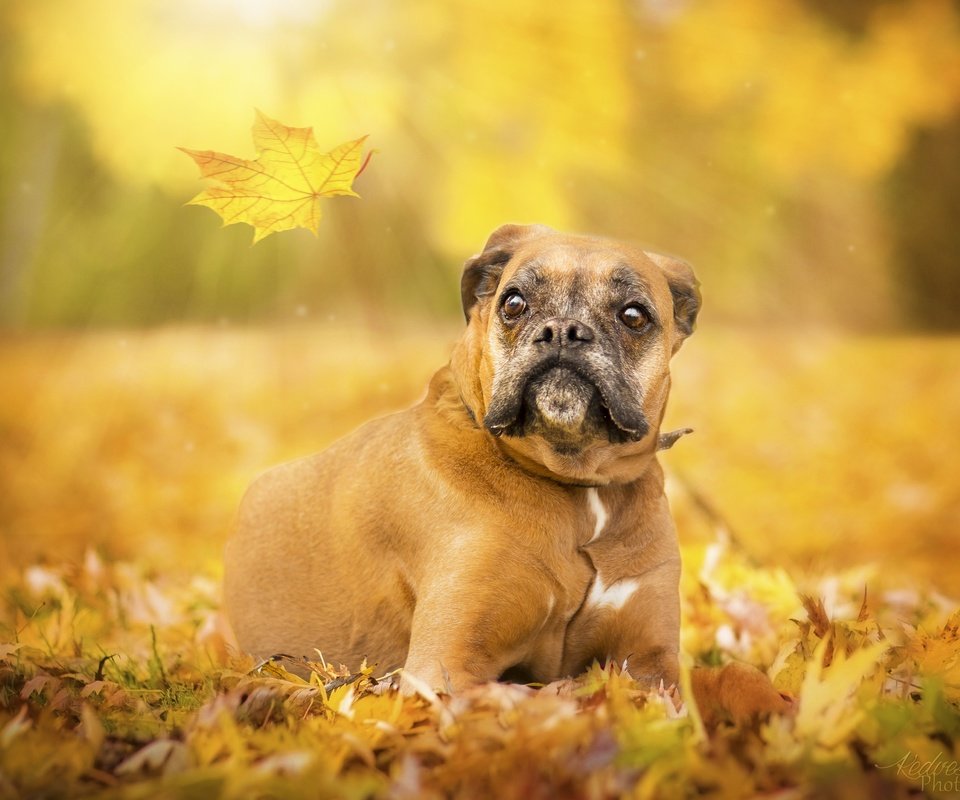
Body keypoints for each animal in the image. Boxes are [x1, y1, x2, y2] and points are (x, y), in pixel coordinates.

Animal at [225, 225, 788, 720]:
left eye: (634, 315)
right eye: (513, 303)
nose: (564, 331)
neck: (575, 487)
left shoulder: (653, 659)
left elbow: (733, 675)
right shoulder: (447, 669)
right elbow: (551, 696)